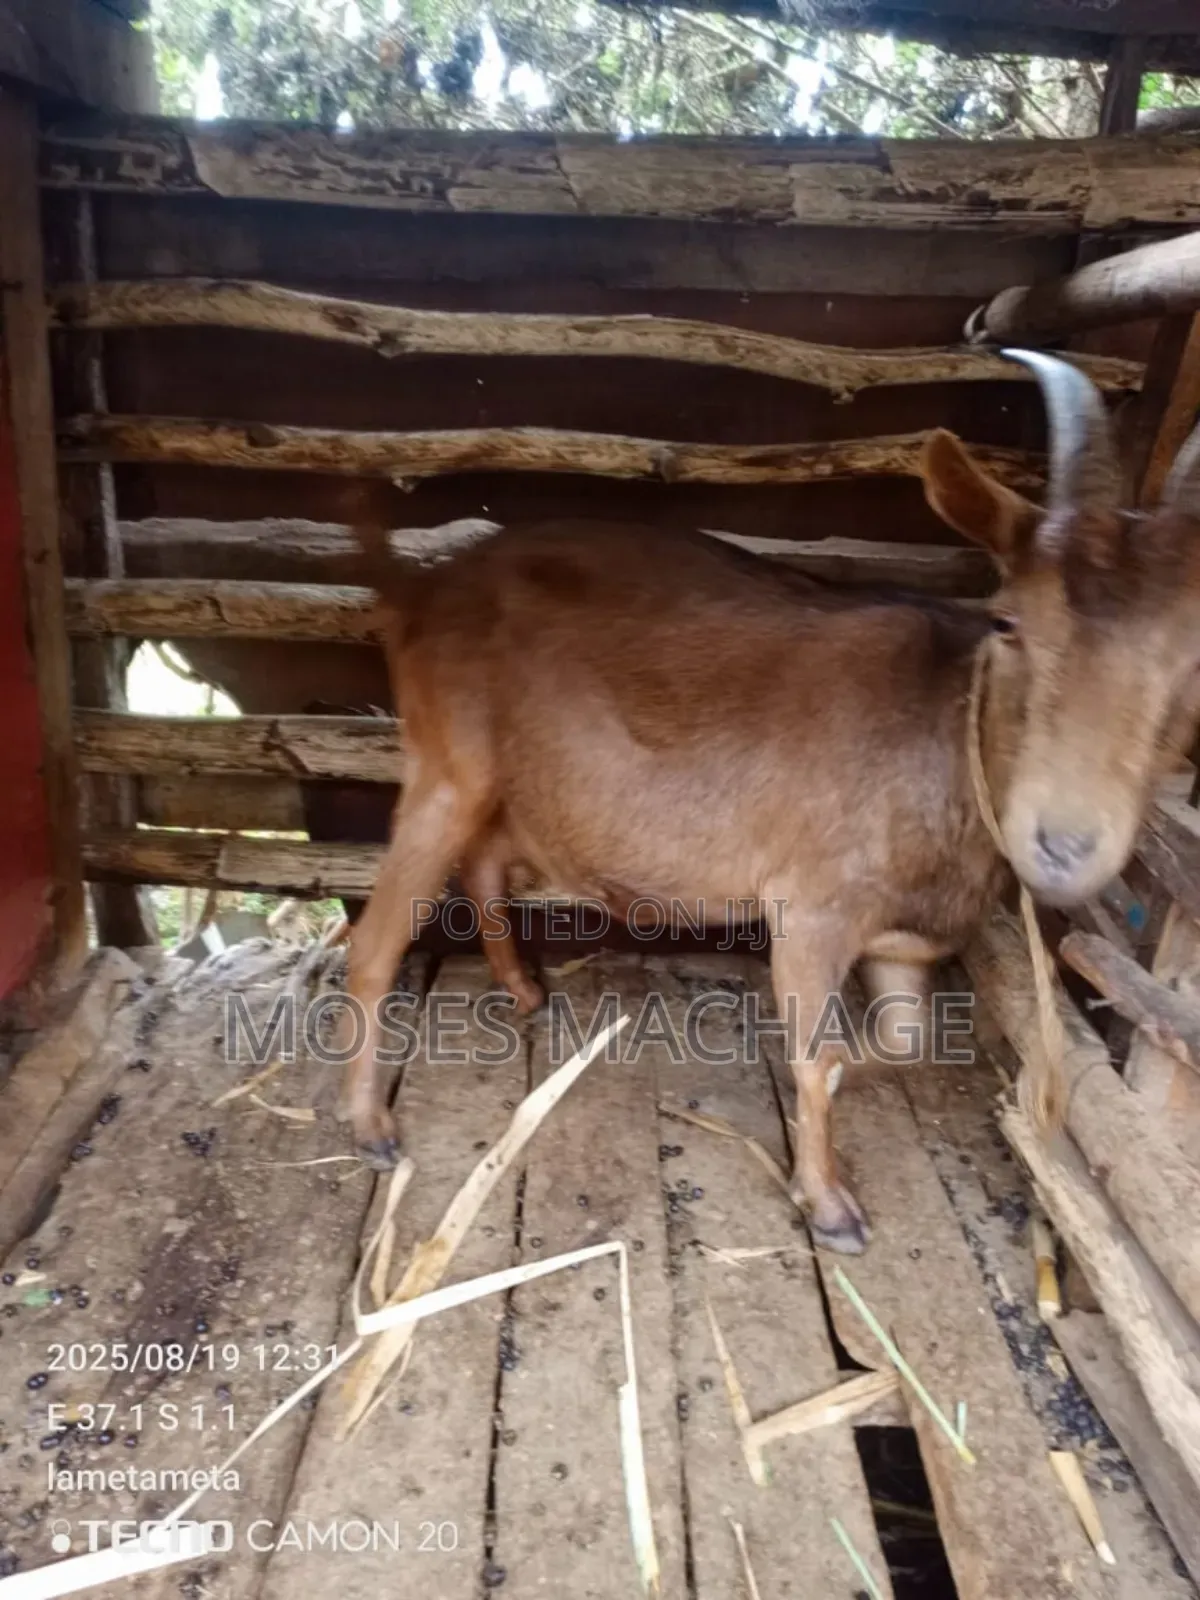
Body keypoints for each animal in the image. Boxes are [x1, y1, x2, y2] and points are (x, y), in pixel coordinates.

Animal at [341, 352, 1200, 1253]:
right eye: (1006, 621)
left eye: (1195, 659)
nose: (1064, 845)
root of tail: (419, 590)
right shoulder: (813, 908)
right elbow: (816, 1053)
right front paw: (829, 1205)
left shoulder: (904, 939)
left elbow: (900, 1044)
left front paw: (853, 1081)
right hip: (447, 766)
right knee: (377, 938)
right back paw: (370, 1126)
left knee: (485, 859)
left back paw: (524, 989)